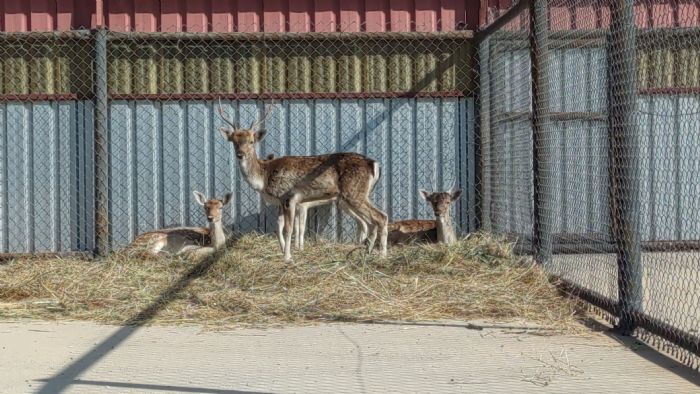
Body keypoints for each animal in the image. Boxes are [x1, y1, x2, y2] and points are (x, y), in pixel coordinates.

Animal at [217, 102, 388, 262]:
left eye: (251, 141)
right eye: (234, 141)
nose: (240, 154)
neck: (263, 179)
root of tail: (374, 164)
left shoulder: (289, 196)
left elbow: (289, 229)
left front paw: (288, 257)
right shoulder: (281, 201)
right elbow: (278, 227)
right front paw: (283, 251)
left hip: (353, 192)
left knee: (381, 217)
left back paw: (382, 255)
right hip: (358, 195)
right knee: (371, 222)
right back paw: (366, 253)